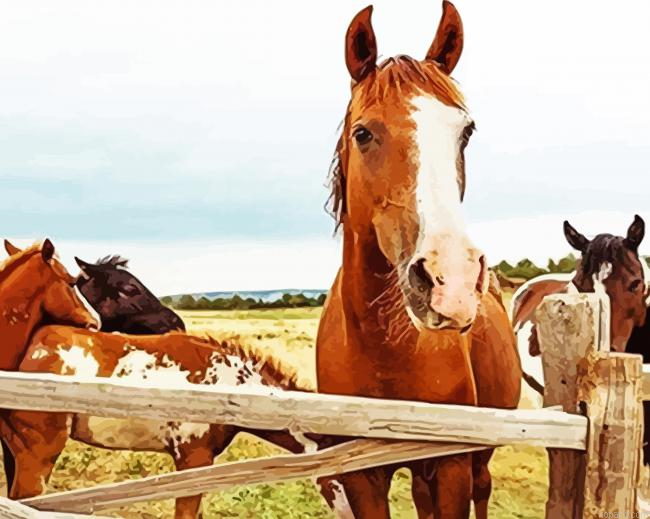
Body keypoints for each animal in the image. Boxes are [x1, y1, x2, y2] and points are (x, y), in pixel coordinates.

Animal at [312, 3, 521, 518]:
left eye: (466, 132)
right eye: (363, 133)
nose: (454, 280)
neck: (387, 350)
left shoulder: (450, 467)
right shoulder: (361, 473)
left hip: (478, 457)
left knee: (484, 487)